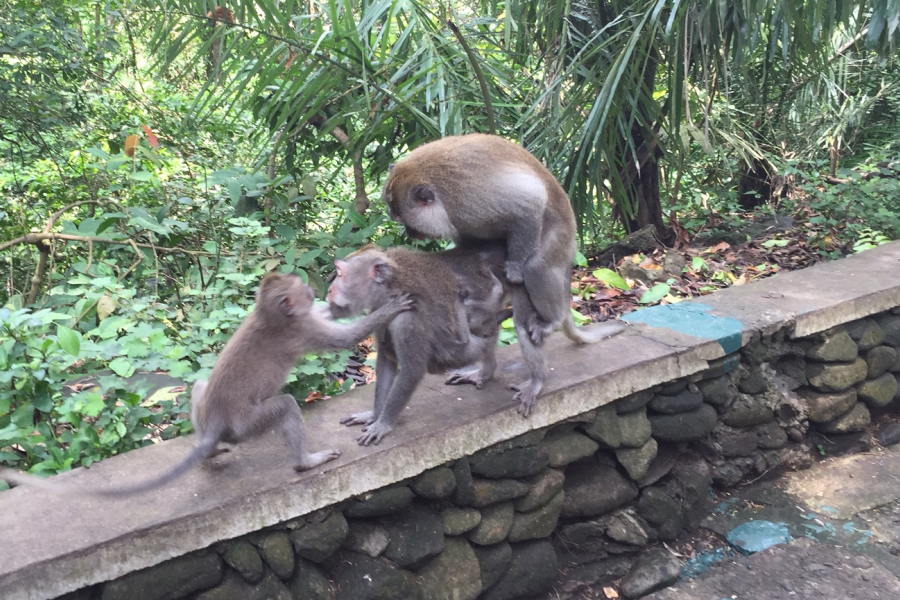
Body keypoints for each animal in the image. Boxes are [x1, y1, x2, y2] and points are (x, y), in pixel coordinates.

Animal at [0, 273, 412, 496]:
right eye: (301, 290)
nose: (314, 288)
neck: (269, 316)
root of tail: (216, 425)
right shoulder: (300, 330)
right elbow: (344, 338)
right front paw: (389, 309)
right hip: (247, 425)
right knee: (285, 408)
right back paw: (305, 462)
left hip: (207, 410)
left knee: (199, 386)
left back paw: (209, 451)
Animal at [327, 244, 508, 445]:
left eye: (340, 274)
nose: (329, 290)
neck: (391, 289)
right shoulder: (380, 310)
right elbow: (387, 359)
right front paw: (374, 415)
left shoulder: (408, 319)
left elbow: (412, 370)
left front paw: (383, 424)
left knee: (482, 335)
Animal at [382, 133, 626, 415]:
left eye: (408, 222)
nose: (411, 234)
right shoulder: (460, 217)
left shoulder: (468, 199)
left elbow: (529, 202)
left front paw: (515, 267)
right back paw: (485, 372)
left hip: (559, 239)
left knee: (536, 268)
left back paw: (547, 332)